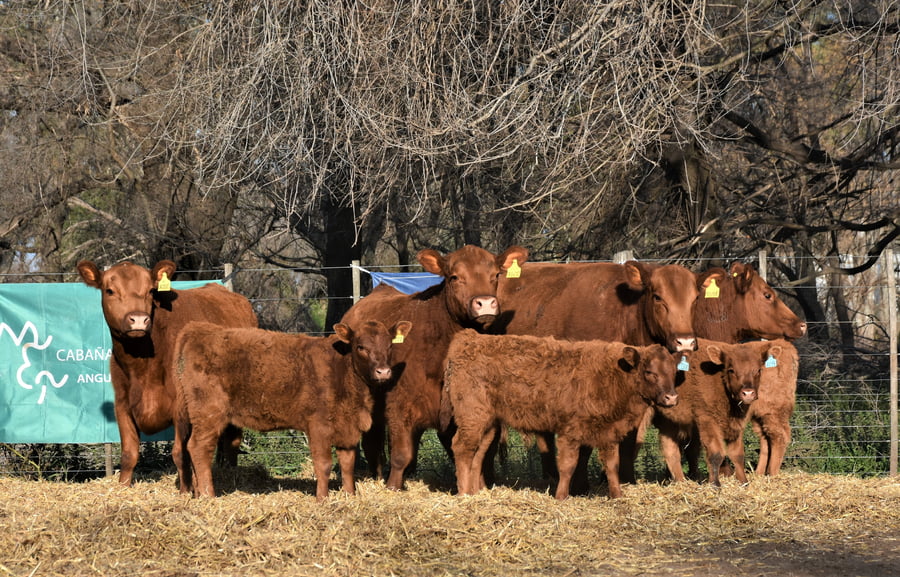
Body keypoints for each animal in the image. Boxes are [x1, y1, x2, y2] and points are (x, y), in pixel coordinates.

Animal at [77, 259, 258, 486]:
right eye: (109, 290)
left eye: (150, 291)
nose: (138, 319)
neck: (142, 364)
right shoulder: (122, 404)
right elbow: (129, 454)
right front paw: (123, 486)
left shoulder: (180, 406)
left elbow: (180, 454)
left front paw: (186, 490)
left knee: (232, 440)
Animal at [174, 319, 412, 500]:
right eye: (360, 347)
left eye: (390, 346)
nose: (383, 371)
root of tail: (198, 328)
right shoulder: (318, 426)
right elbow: (324, 464)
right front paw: (322, 499)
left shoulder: (348, 427)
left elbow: (347, 464)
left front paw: (349, 495)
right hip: (209, 413)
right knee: (199, 448)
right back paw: (208, 496)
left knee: (187, 449)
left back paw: (197, 493)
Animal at [340, 244, 529, 490]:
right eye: (454, 277)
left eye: (496, 275)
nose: (486, 303)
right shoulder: (399, 404)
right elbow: (401, 453)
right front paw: (392, 487)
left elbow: (475, 451)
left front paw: (477, 486)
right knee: (373, 445)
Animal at [442, 330, 679, 500]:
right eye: (649, 372)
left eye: (674, 372)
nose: (671, 398)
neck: (612, 374)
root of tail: (469, 338)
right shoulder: (570, 431)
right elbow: (568, 465)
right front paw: (561, 496)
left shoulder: (610, 432)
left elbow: (612, 465)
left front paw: (617, 495)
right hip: (472, 417)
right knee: (462, 448)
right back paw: (463, 494)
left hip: (488, 423)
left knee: (477, 453)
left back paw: (474, 493)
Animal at [652, 339, 783, 486]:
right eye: (731, 370)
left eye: (758, 370)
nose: (748, 393)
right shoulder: (708, 421)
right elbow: (715, 453)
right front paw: (715, 484)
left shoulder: (736, 425)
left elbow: (737, 454)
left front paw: (743, 481)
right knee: (672, 451)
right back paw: (680, 481)